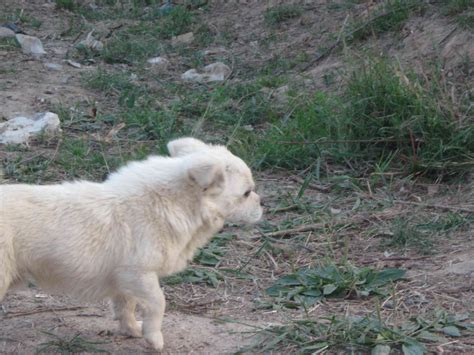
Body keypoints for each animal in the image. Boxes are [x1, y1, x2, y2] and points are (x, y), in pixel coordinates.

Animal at [0, 138, 262, 350]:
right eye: (247, 193)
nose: (263, 204)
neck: (170, 201)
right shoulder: (139, 274)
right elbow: (158, 302)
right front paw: (153, 337)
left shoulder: (124, 280)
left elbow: (126, 305)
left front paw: (132, 330)